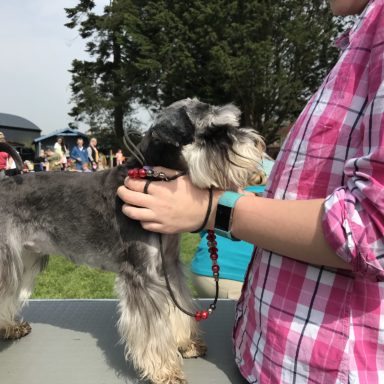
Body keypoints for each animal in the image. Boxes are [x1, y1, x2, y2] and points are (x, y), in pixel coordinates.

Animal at [0, 98, 266, 384]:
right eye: (212, 132)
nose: (257, 144)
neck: (151, 177)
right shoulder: (142, 276)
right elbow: (153, 329)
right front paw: (165, 370)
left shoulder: (168, 267)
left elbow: (177, 306)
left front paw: (185, 343)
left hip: (23, 258)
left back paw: (10, 326)